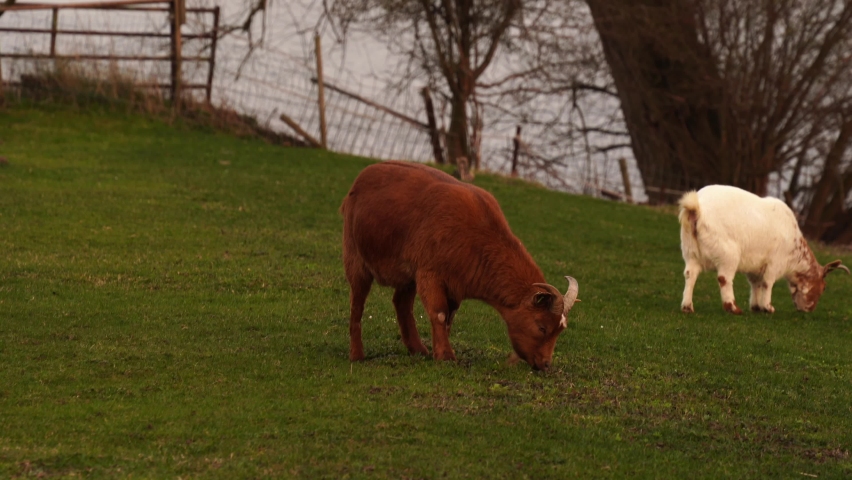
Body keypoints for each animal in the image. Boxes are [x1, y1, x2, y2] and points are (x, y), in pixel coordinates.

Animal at [340, 161, 579, 370]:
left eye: (559, 331)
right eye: (541, 327)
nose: (545, 365)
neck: (478, 236)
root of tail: (363, 176)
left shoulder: (453, 284)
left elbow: (449, 317)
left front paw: (439, 351)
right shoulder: (430, 274)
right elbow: (439, 313)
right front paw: (446, 356)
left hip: (407, 275)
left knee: (401, 303)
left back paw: (418, 350)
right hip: (355, 259)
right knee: (357, 305)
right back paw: (357, 355)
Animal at [678, 185, 848, 314]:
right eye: (824, 287)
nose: (810, 309)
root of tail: (697, 208)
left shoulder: (755, 265)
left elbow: (756, 283)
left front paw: (756, 307)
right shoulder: (775, 262)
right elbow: (767, 283)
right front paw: (768, 307)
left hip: (690, 251)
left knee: (690, 274)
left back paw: (687, 307)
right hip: (728, 254)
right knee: (724, 278)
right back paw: (733, 308)